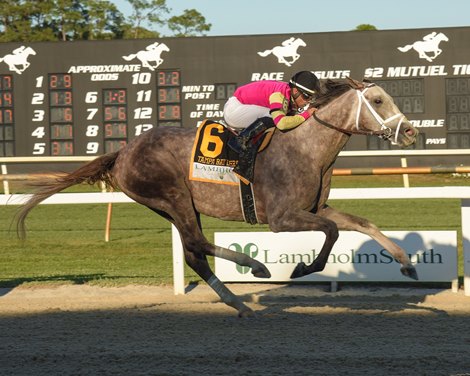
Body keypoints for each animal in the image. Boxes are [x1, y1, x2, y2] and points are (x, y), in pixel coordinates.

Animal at [16, 78, 418, 318]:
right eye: (378, 99)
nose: (411, 132)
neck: (306, 148)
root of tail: (123, 151)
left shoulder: (316, 207)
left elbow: (362, 223)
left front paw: (406, 264)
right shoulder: (281, 218)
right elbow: (332, 233)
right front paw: (303, 268)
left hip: (171, 206)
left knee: (194, 253)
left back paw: (238, 302)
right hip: (173, 196)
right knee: (196, 243)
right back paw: (254, 267)